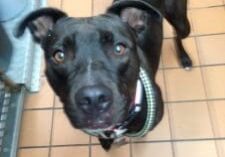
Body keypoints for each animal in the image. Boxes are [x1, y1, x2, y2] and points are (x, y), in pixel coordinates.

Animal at [15, 0, 192, 150]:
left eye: (119, 48)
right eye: (59, 56)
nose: (93, 99)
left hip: (182, 23)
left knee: (177, 34)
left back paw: (184, 58)